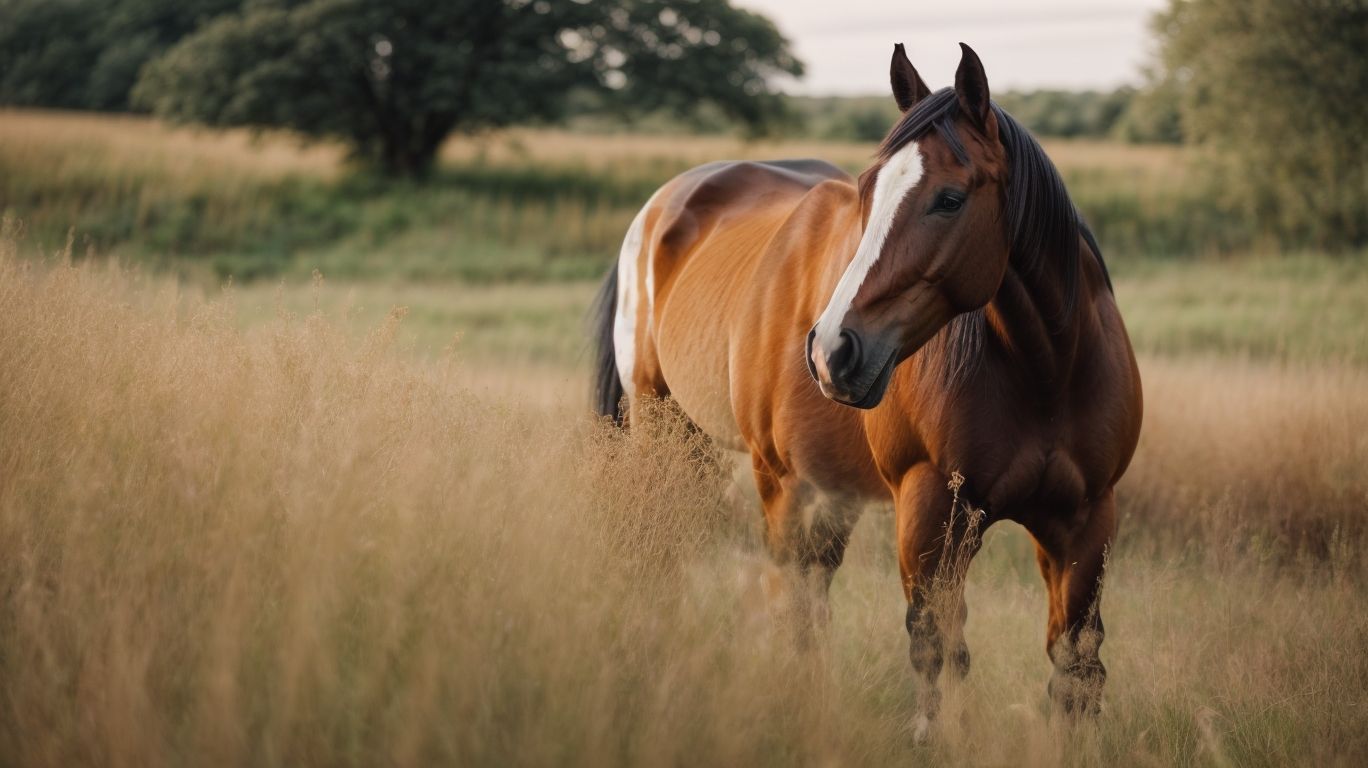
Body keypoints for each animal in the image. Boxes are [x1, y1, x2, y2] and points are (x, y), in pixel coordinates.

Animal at [590, 43, 1142, 732]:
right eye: (866, 191)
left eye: (950, 199)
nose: (831, 350)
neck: (1045, 371)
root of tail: (662, 208)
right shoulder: (931, 511)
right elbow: (936, 654)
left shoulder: (1086, 523)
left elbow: (1076, 671)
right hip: (718, 456)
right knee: (749, 583)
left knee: (806, 604)